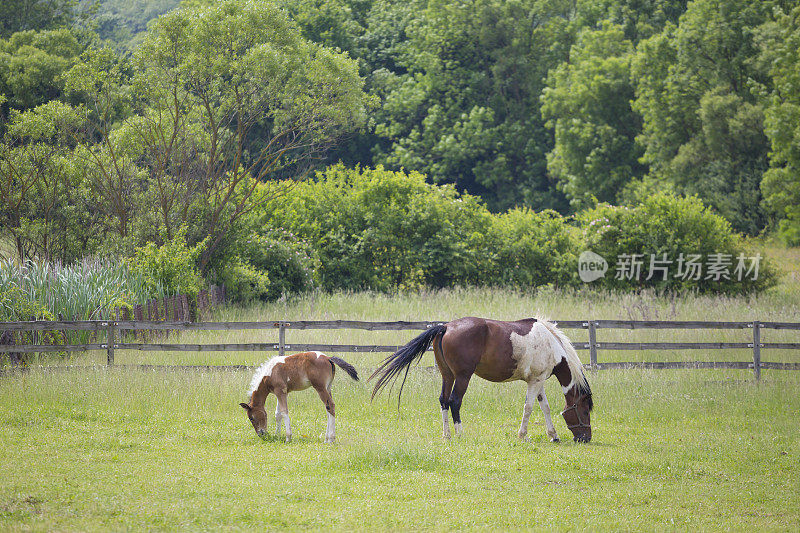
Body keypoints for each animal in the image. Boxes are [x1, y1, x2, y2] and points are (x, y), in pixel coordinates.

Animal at [372, 316, 592, 440]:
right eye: (584, 410)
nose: (585, 438)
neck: (550, 343)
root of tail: (446, 327)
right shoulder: (535, 381)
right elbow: (529, 408)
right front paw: (522, 436)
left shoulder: (538, 381)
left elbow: (544, 407)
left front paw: (553, 435)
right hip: (462, 377)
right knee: (454, 401)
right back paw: (460, 433)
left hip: (447, 375)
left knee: (443, 400)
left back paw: (447, 435)